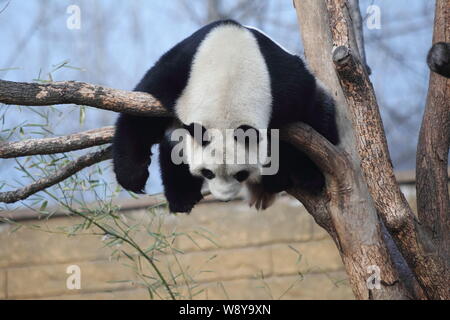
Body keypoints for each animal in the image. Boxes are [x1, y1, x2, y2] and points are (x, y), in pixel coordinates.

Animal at [111, 19, 338, 212]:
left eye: (241, 174)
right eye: (207, 172)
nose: (224, 198)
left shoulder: (286, 88)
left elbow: (311, 120)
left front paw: (309, 175)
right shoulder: (177, 74)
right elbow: (140, 116)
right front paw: (133, 177)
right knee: (173, 143)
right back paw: (182, 197)